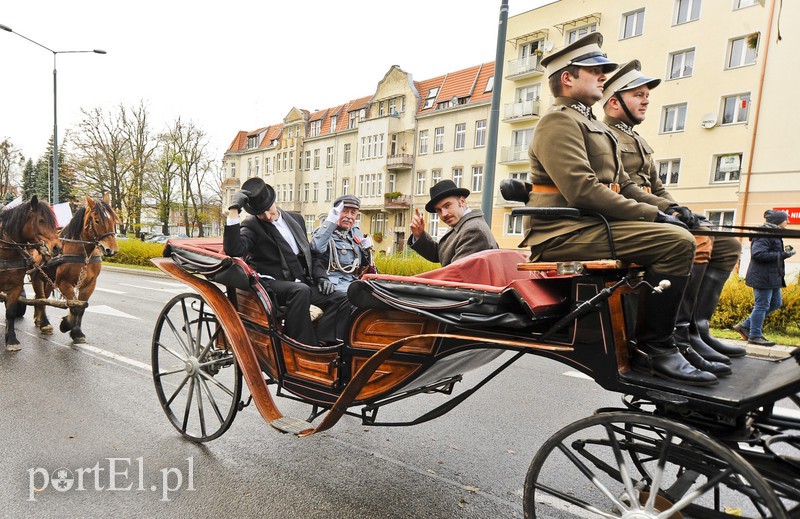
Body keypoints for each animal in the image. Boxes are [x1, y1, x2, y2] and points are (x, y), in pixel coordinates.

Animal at [32, 195, 119, 346]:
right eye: (97, 220)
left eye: (113, 220)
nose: (111, 250)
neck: (82, 252)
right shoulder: (64, 283)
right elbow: (74, 306)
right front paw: (66, 324)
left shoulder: (89, 284)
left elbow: (81, 308)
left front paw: (77, 332)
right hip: (37, 277)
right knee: (41, 299)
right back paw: (44, 323)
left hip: (48, 281)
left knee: (41, 298)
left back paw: (39, 319)